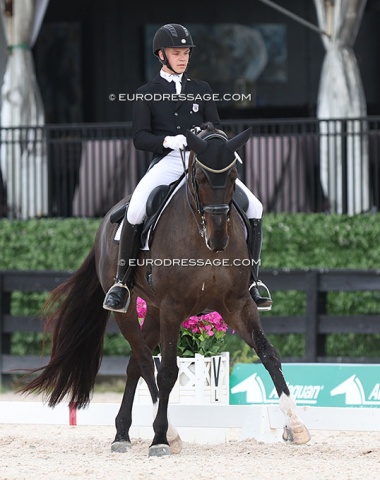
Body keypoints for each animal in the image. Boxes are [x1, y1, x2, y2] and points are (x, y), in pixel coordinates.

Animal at [19, 123, 310, 454]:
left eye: (234, 176)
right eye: (200, 177)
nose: (219, 239)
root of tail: (108, 218)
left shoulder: (237, 304)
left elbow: (268, 353)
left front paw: (296, 425)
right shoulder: (174, 307)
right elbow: (168, 371)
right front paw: (160, 438)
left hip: (155, 311)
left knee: (135, 362)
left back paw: (122, 433)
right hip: (129, 309)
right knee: (146, 360)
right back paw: (167, 432)